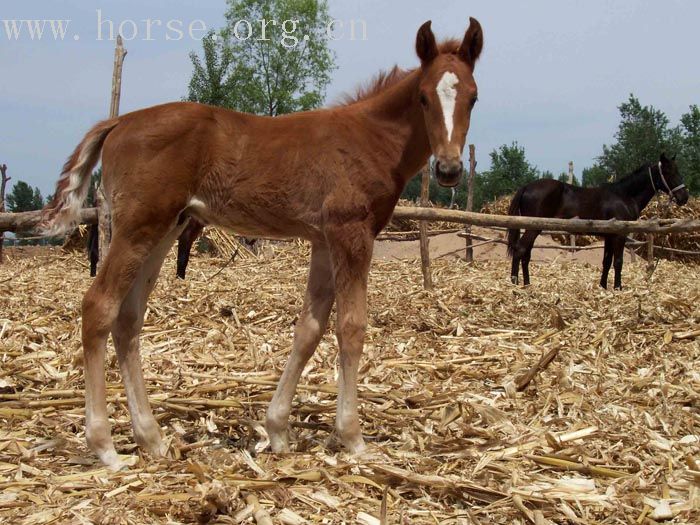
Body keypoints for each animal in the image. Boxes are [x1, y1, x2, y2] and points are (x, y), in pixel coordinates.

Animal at [41, 19, 484, 466]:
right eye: (424, 97)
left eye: (473, 97)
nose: (448, 169)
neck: (370, 139)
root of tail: (119, 122)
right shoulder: (351, 233)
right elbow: (351, 326)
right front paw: (353, 437)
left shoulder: (323, 240)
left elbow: (309, 329)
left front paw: (277, 431)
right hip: (138, 227)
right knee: (99, 306)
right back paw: (105, 446)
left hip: (164, 229)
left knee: (128, 318)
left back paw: (152, 438)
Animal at [506, 154, 688, 288]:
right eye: (668, 172)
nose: (684, 197)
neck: (624, 195)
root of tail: (527, 187)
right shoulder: (619, 235)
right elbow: (618, 262)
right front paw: (618, 288)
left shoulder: (609, 236)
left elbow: (606, 261)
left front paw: (603, 287)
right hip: (532, 229)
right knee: (520, 250)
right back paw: (515, 283)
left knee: (526, 253)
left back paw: (527, 284)